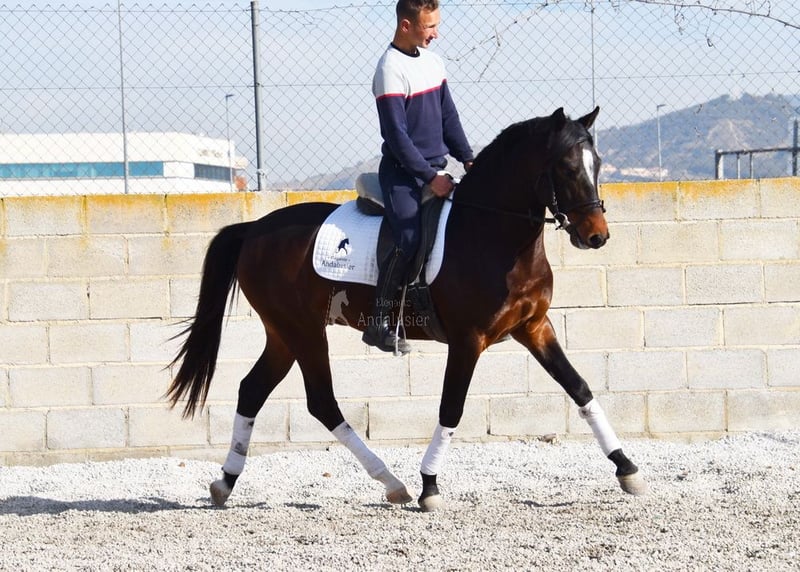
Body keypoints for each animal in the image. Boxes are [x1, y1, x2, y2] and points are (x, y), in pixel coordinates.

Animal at [167, 107, 648, 512]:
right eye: (567, 168)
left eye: (597, 164)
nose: (597, 236)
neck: (493, 234)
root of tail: (254, 228)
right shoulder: (468, 340)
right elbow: (451, 408)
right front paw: (429, 486)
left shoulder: (535, 327)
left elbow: (580, 388)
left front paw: (627, 468)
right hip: (303, 331)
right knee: (322, 401)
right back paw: (391, 481)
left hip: (283, 334)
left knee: (253, 390)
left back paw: (226, 482)